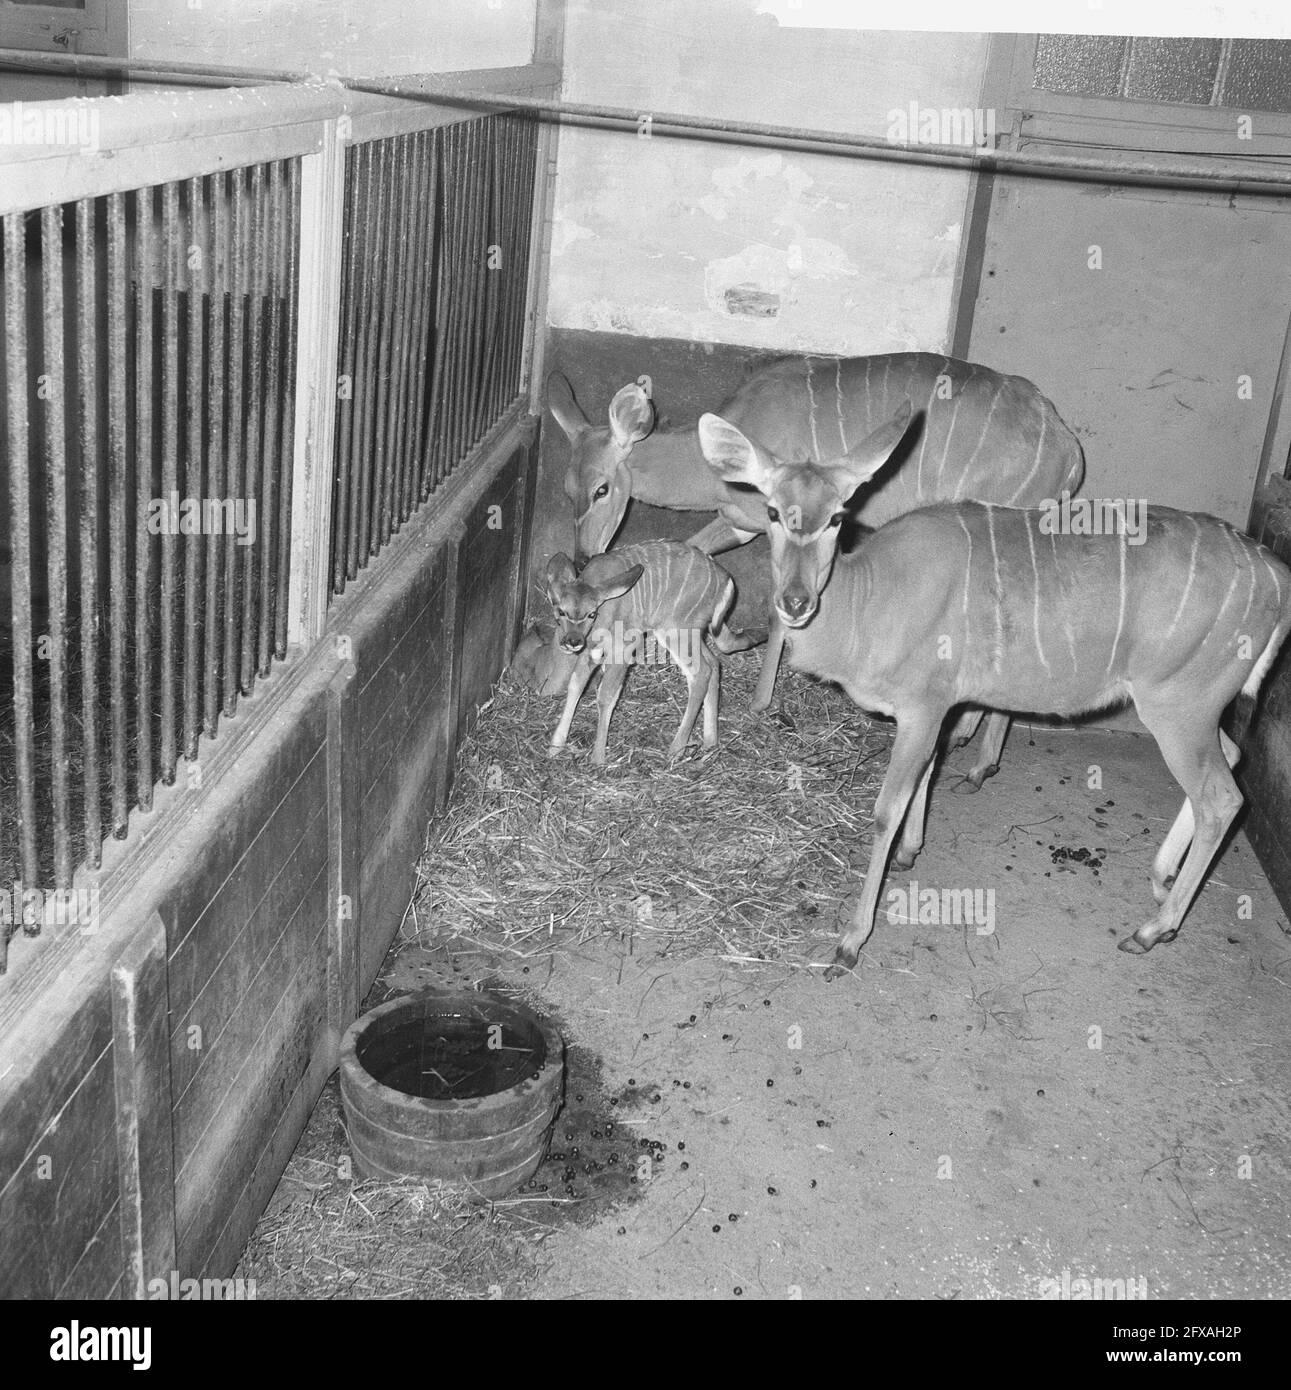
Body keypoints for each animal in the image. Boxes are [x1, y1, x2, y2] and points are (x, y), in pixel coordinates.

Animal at [541, 542, 761, 767]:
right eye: (560, 611)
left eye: (591, 613)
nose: (572, 641)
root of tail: (726, 581)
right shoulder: (590, 652)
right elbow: (575, 686)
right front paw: (554, 749)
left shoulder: (624, 648)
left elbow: (606, 696)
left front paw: (598, 758)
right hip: (691, 632)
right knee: (714, 663)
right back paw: (709, 744)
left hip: (675, 630)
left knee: (701, 673)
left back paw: (676, 751)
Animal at [700, 408, 1289, 978]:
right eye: (773, 511)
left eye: (838, 516)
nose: (795, 601)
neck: (871, 597)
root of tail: (1276, 574)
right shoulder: (940, 707)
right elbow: (929, 772)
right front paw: (912, 852)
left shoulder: (921, 707)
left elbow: (887, 809)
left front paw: (849, 944)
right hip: (1197, 708)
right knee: (1230, 758)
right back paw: (1161, 879)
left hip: (1178, 705)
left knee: (1222, 797)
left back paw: (1151, 930)